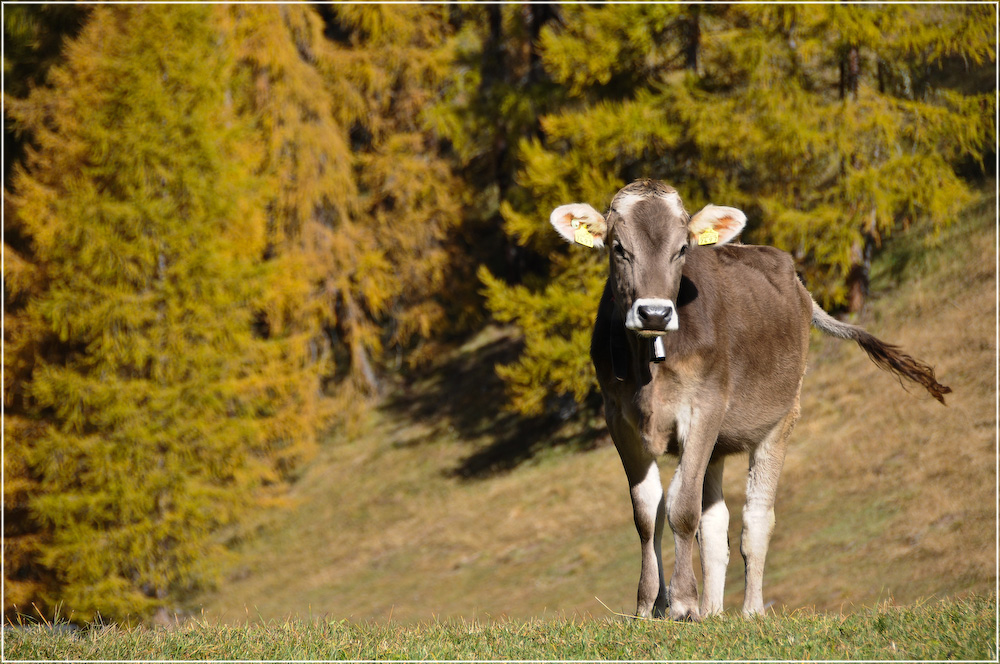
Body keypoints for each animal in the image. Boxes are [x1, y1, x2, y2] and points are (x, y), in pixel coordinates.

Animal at [552, 178, 948, 624]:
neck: (647, 365)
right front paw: (649, 603)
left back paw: (750, 611)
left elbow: (682, 509)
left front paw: (683, 603)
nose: (654, 313)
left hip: (781, 418)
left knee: (756, 519)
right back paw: (712, 611)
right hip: (718, 445)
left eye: (682, 249)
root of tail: (798, 284)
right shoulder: (618, 418)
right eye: (618, 248)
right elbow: (647, 513)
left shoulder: (705, 408)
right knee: (715, 527)